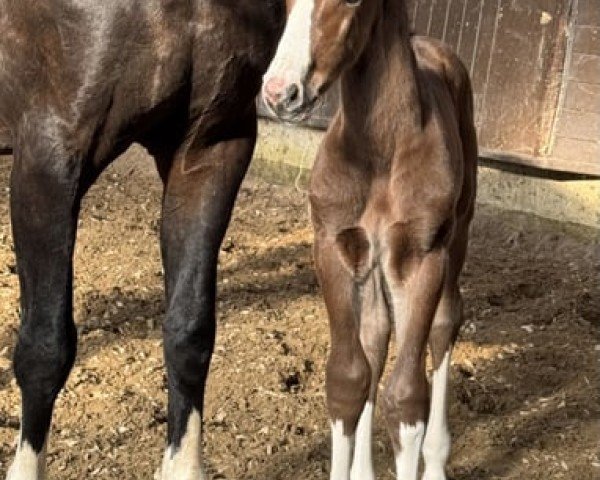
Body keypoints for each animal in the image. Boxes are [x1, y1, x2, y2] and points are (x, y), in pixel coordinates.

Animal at [262, 0, 478, 480]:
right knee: (376, 338)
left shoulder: (421, 258)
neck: (381, 150)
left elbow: (407, 398)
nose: (280, 93)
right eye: (284, 3)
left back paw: (437, 460)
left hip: (457, 234)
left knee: (444, 322)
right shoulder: (334, 248)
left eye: (350, 3)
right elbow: (348, 379)